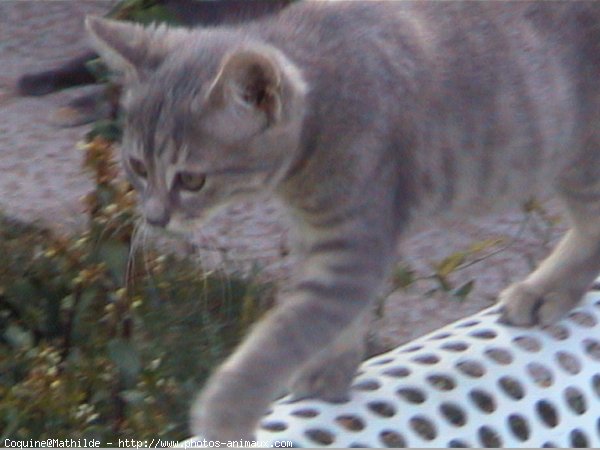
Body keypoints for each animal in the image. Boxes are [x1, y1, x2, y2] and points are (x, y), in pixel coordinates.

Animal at [86, 0, 600, 442]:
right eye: (137, 166)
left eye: (192, 179)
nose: (155, 217)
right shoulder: (320, 237)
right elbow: (330, 318)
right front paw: (333, 367)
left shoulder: (356, 246)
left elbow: (285, 332)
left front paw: (226, 414)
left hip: (578, 158)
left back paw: (546, 289)